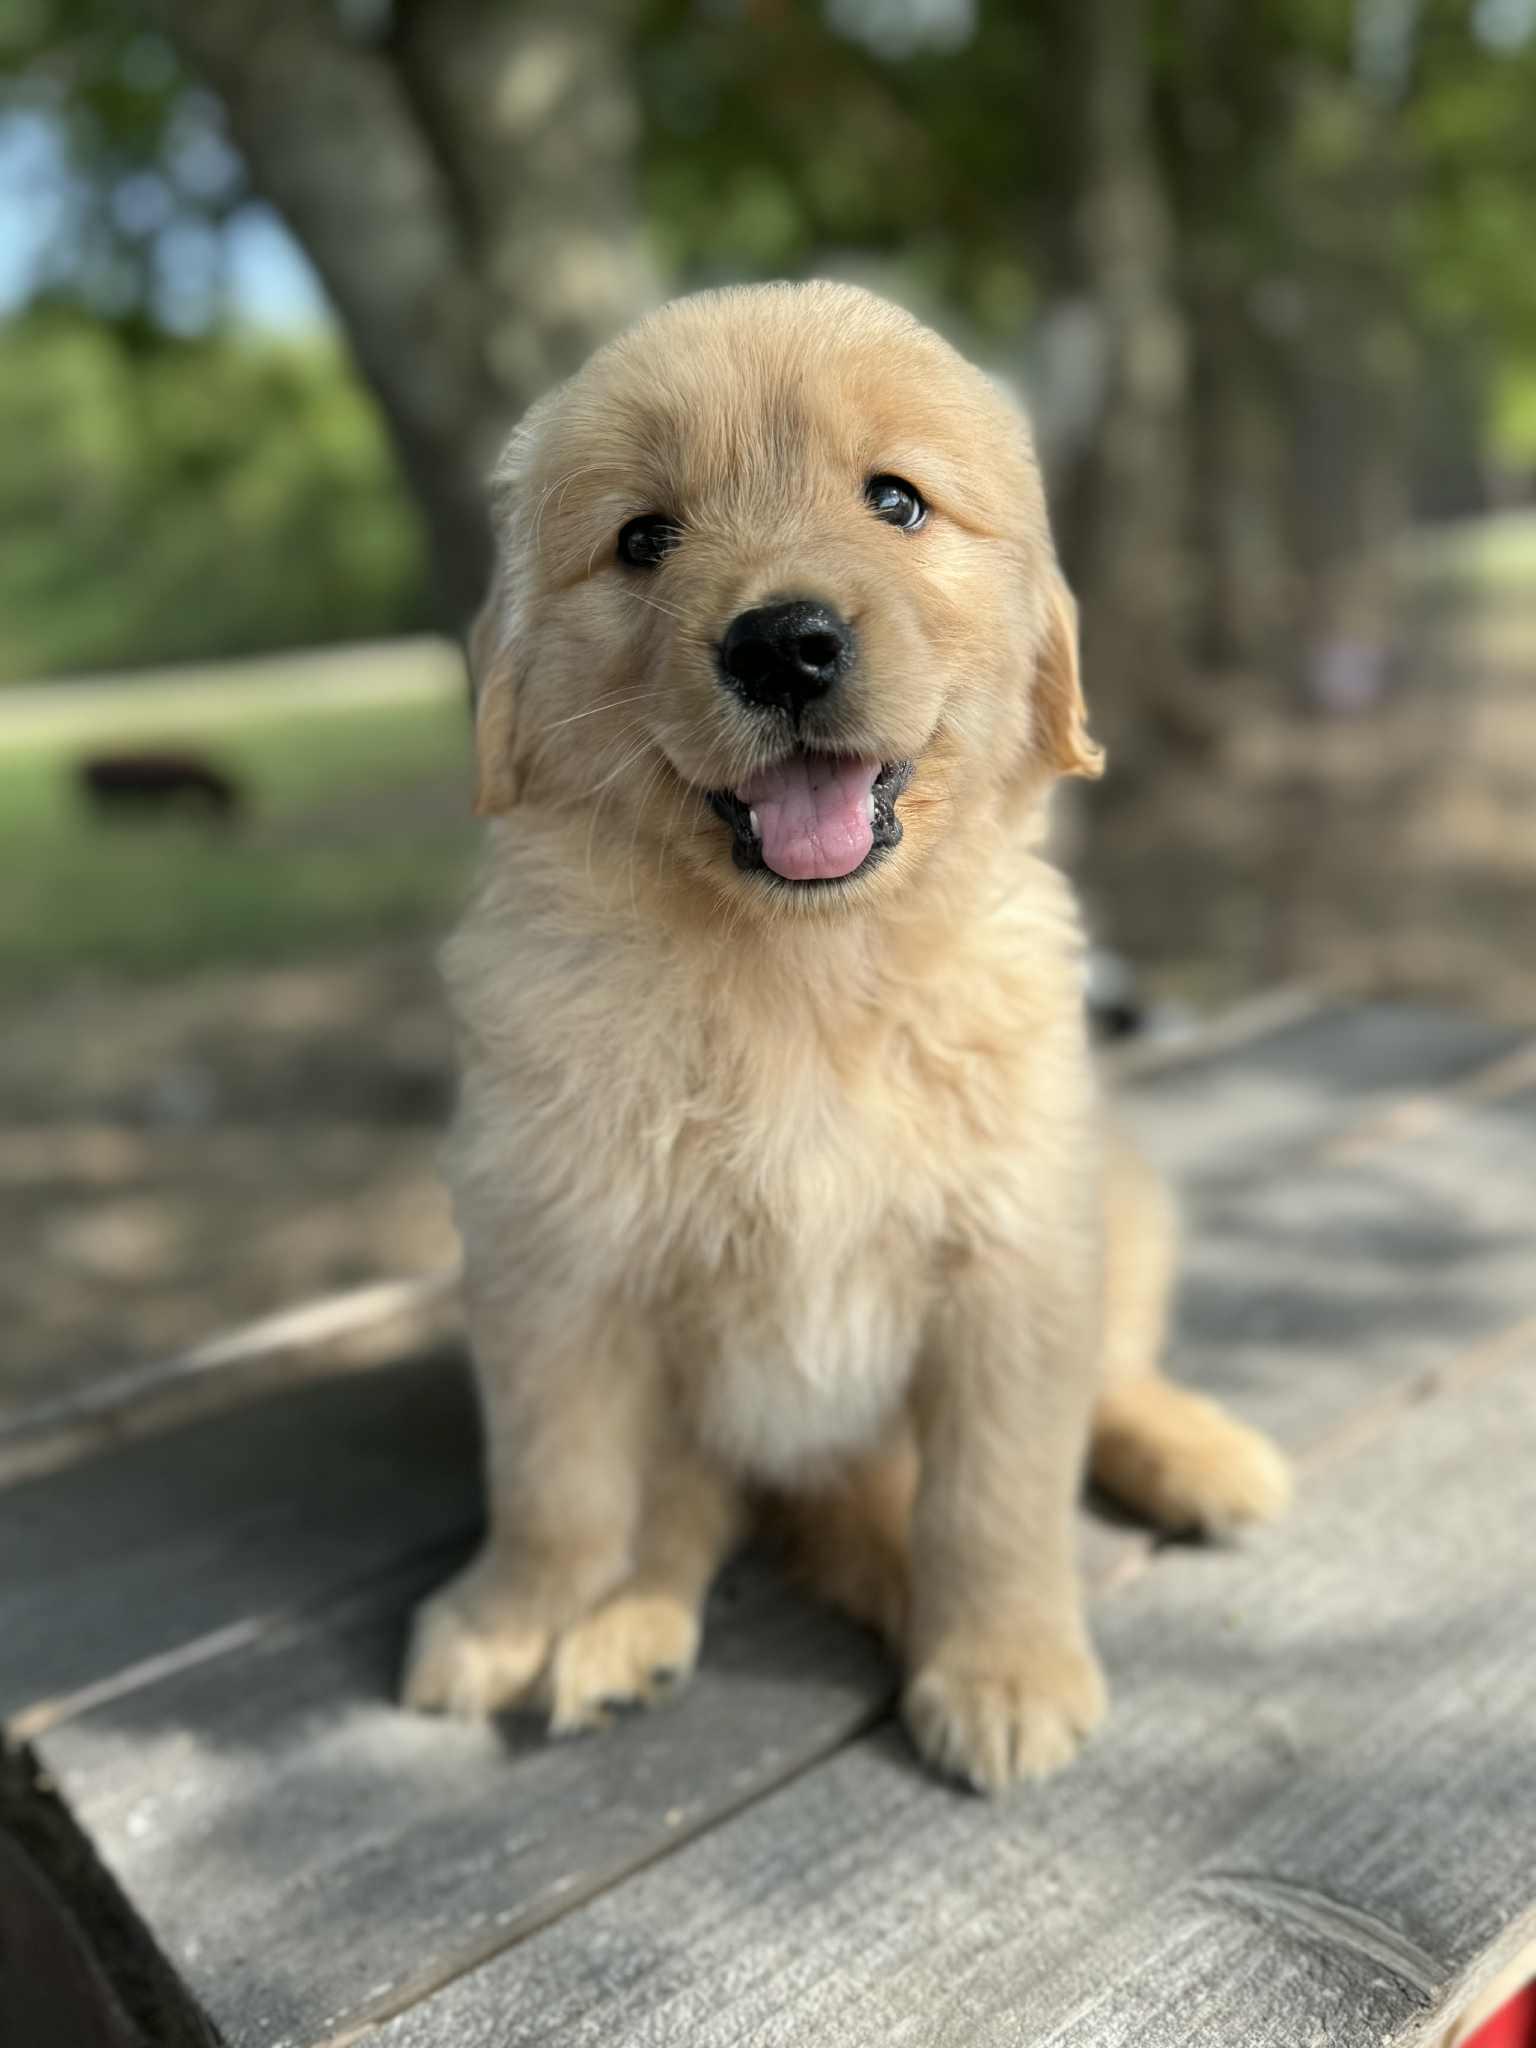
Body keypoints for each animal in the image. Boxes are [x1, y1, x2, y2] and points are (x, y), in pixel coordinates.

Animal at [403, 282, 1289, 1791]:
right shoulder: (550, 1256)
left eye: (897, 500)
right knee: (690, 1507)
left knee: (1107, 1379)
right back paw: (627, 1633)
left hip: (1119, 1198)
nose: (783, 643)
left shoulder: (1014, 1248)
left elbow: (998, 1493)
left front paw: (1001, 1664)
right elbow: (555, 1478)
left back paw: (1201, 1455)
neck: (799, 978)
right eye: (644, 537)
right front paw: (511, 1615)